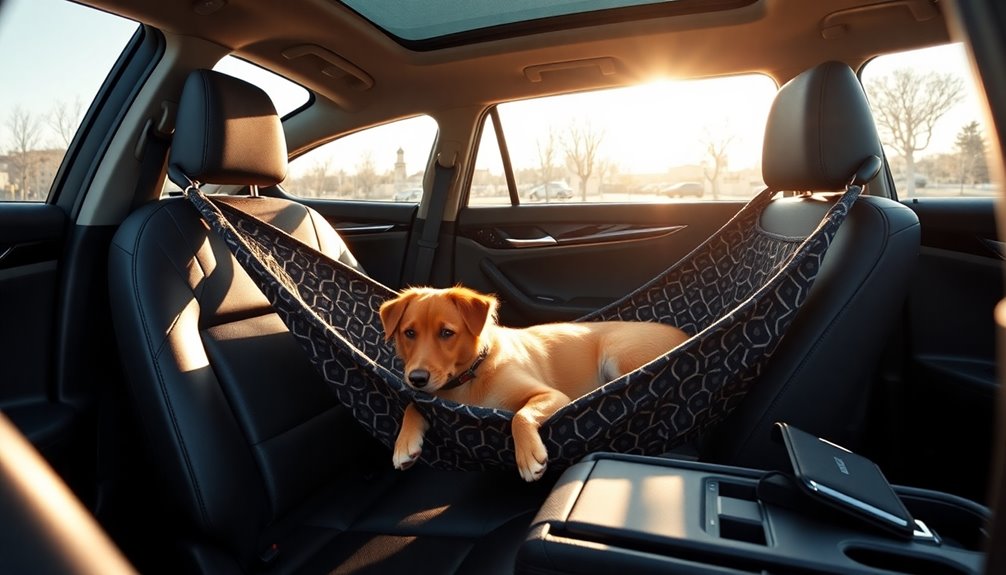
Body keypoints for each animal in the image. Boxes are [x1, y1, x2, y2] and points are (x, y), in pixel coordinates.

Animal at [378, 285, 692, 480]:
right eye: (409, 333)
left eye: (446, 333)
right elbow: (412, 405)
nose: (417, 378)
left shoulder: (550, 395)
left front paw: (528, 456)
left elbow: (519, 415)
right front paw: (404, 443)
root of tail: (685, 335)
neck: (468, 378)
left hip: (618, 352)